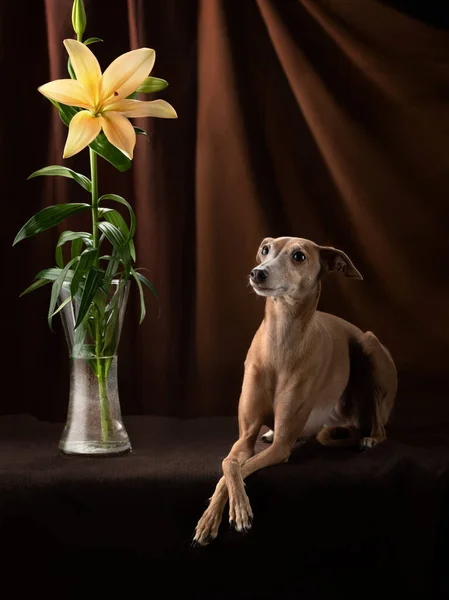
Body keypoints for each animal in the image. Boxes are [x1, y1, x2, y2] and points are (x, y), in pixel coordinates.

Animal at [194, 237, 398, 548]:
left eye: (299, 256)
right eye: (266, 250)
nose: (257, 273)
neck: (279, 342)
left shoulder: (281, 447)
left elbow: (244, 467)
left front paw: (238, 511)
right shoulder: (245, 437)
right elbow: (229, 465)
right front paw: (210, 519)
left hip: (369, 346)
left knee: (380, 426)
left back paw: (370, 439)